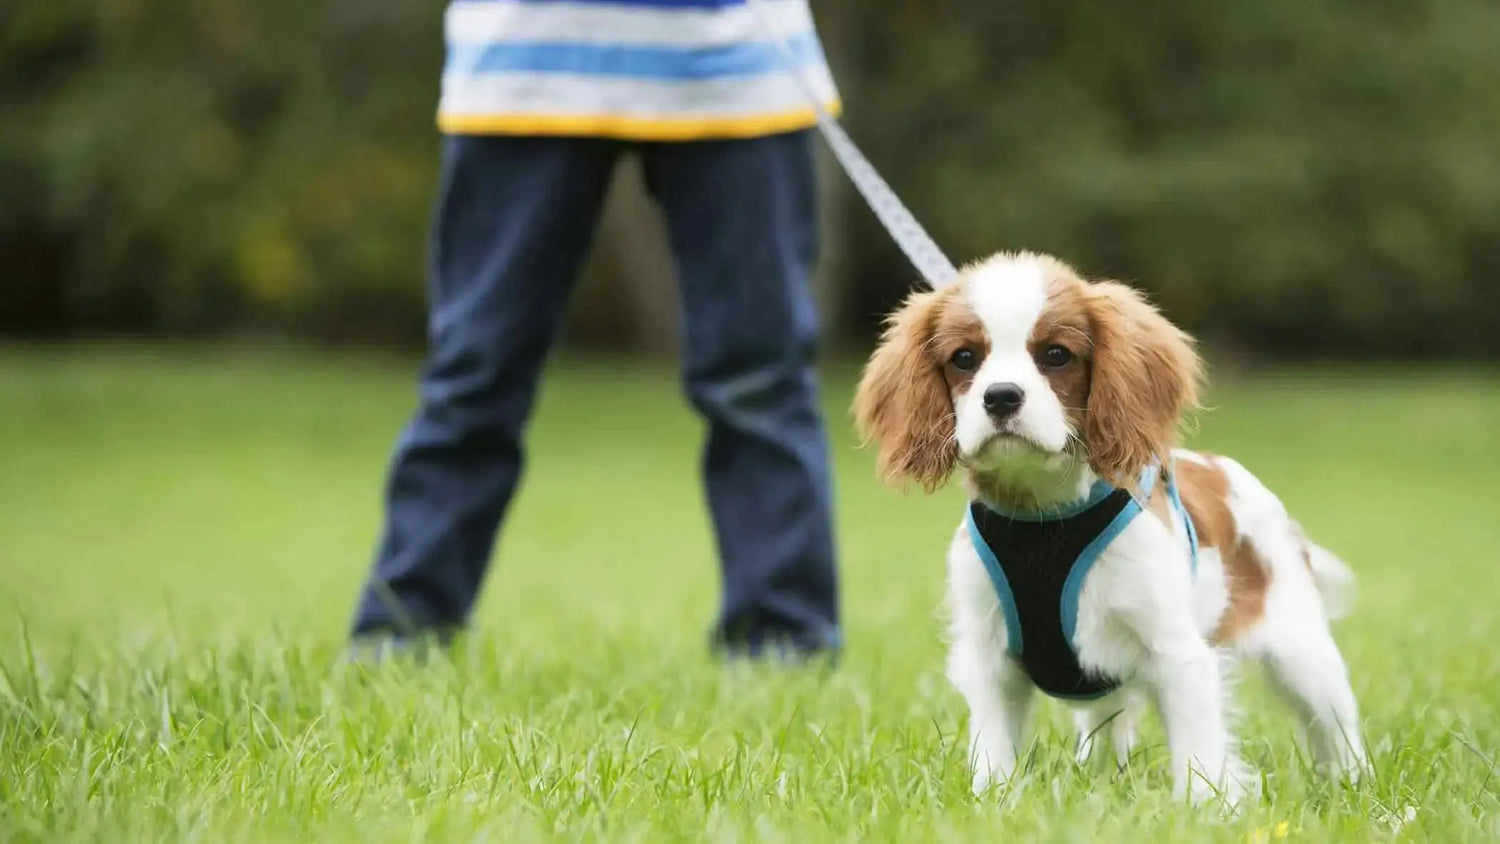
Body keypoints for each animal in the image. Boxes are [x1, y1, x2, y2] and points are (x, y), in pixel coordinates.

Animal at [858, 253, 1362, 803]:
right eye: (965, 358)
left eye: (1056, 355)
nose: (1001, 397)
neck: (1044, 517)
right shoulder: (990, 659)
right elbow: (993, 750)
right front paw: (994, 801)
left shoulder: (1178, 654)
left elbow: (1199, 754)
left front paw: (1203, 809)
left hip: (1302, 652)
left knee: (1337, 726)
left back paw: (1358, 787)